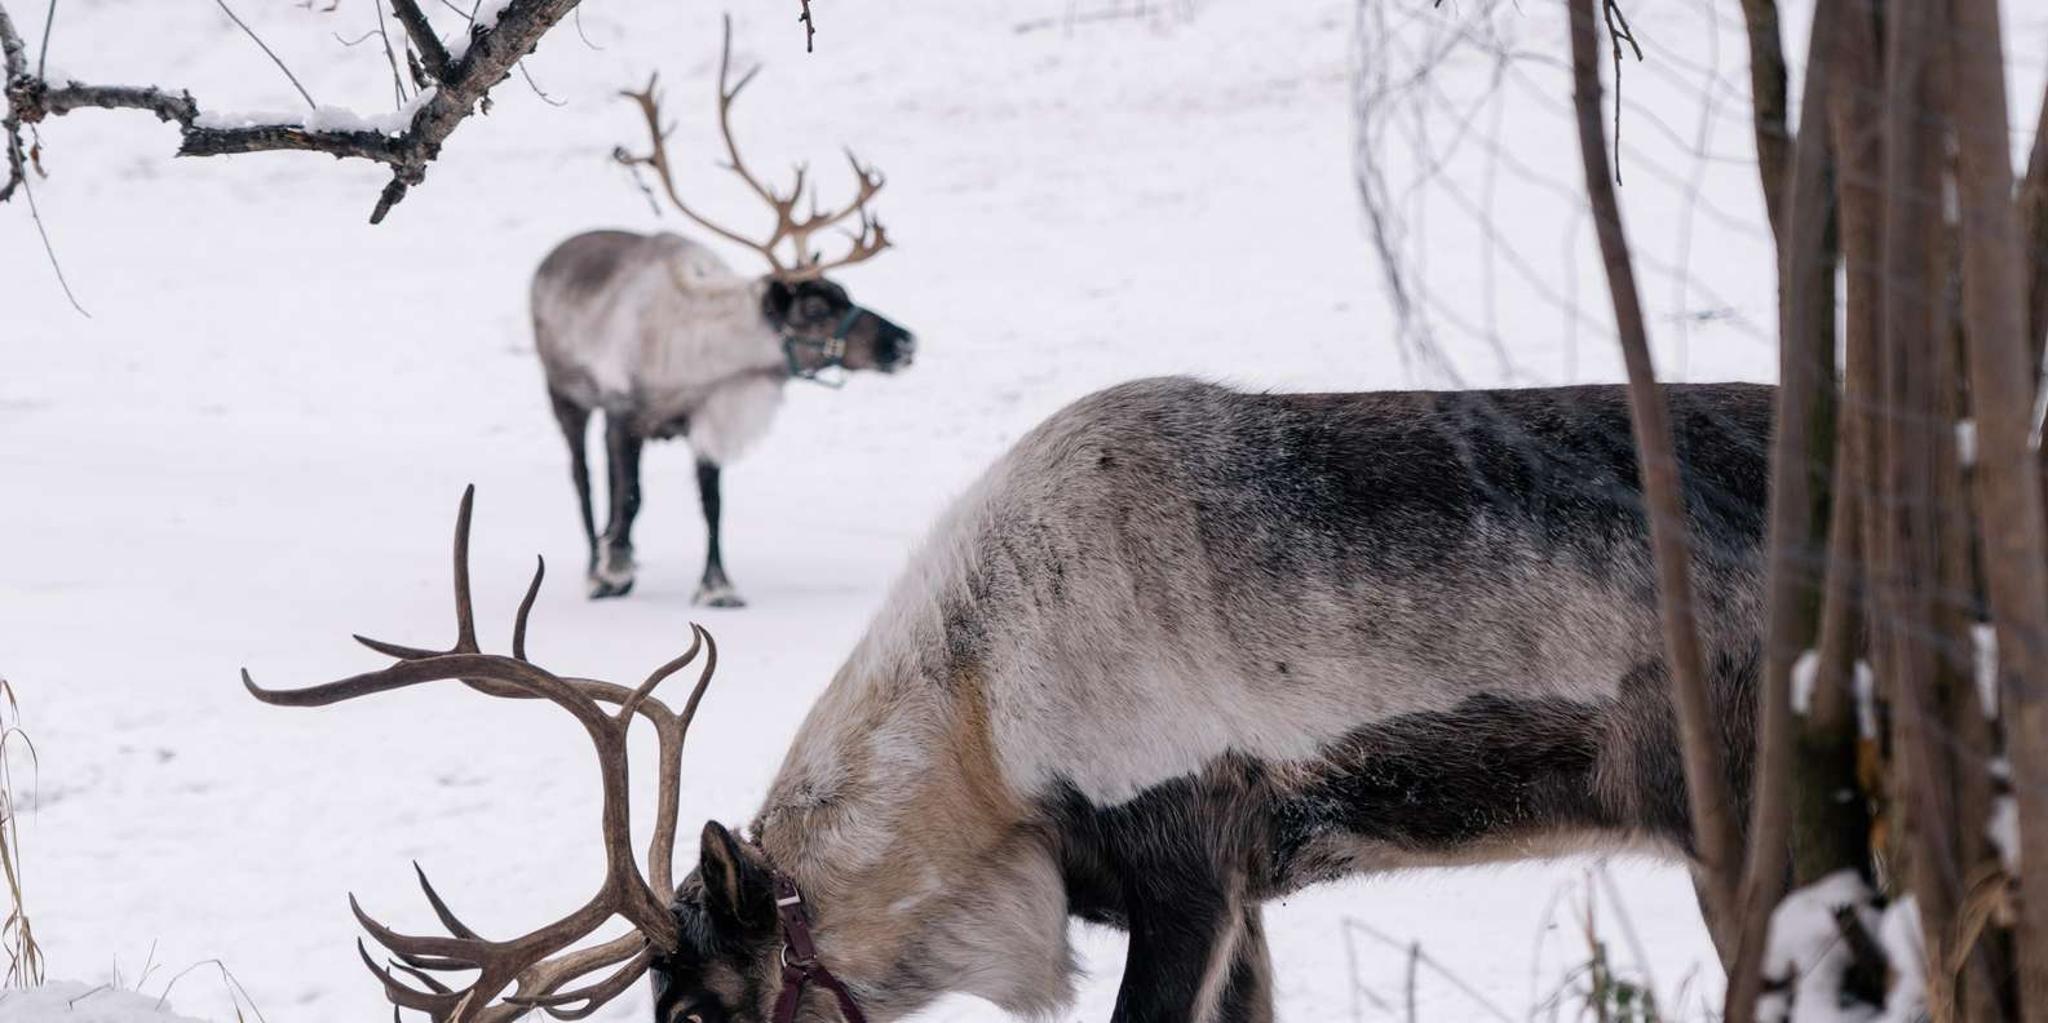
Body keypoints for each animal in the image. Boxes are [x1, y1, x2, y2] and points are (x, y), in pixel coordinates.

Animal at [535, 18, 916, 608]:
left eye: (846, 291)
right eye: (815, 306)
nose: (903, 342)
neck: (709, 356)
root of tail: (552, 256)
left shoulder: (708, 417)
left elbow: (711, 503)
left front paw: (717, 586)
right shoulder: (623, 413)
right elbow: (630, 495)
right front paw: (613, 568)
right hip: (565, 394)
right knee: (585, 479)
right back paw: (598, 567)